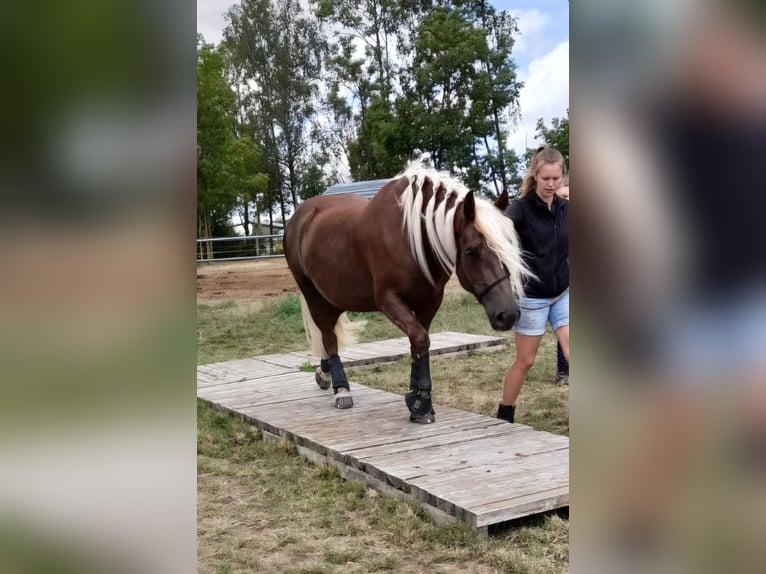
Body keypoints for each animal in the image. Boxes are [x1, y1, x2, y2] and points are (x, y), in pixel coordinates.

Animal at [284, 161, 531, 423]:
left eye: (510, 246)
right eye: (471, 251)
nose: (508, 315)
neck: (412, 238)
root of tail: (301, 215)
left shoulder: (430, 301)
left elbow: (418, 345)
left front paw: (417, 397)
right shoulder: (389, 299)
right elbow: (420, 339)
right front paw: (421, 402)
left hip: (336, 295)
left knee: (329, 332)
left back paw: (325, 374)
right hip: (312, 293)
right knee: (328, 336)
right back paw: (341, 389)